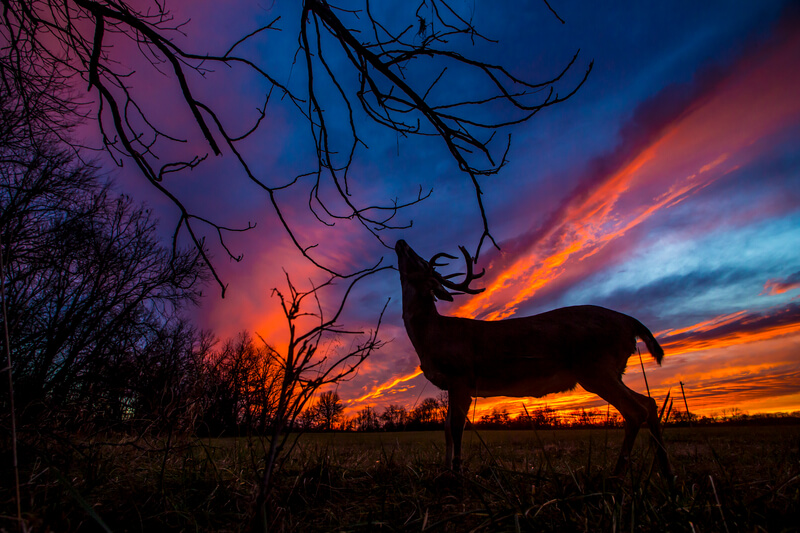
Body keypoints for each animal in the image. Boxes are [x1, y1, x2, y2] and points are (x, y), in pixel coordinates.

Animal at [396, 239, 672, 476]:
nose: (401, 242)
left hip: (596, 368)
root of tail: (631, 322)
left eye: (424, 263)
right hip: (611, 370)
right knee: (650, 403)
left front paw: (456, 473)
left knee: (635, 410)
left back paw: (616, 477)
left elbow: (455, 428)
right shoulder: (452, 385)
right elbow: (445, 429)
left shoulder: (462, 377)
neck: (433, 335)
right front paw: (445, 471)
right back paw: (666, 474)